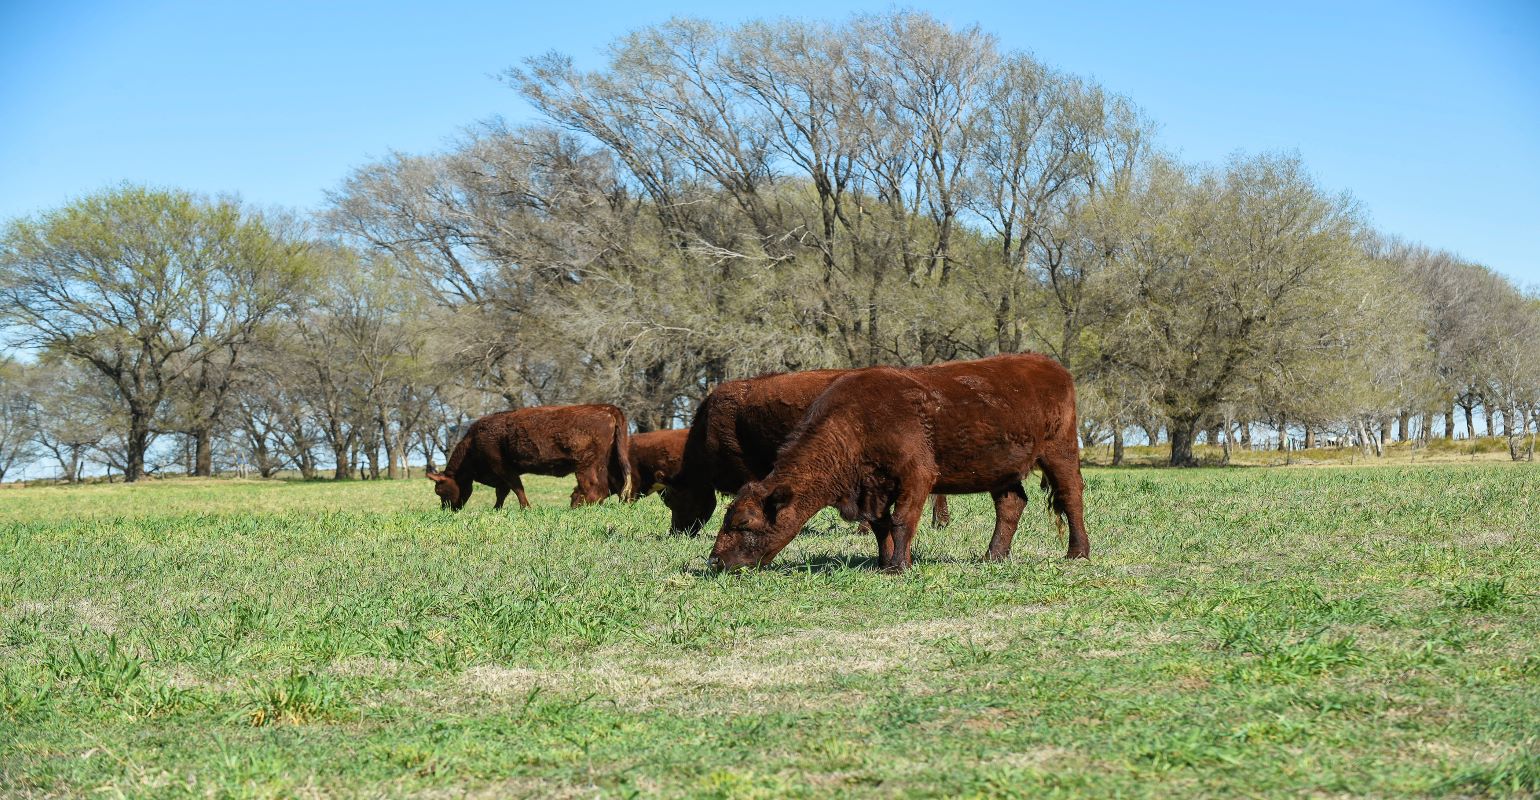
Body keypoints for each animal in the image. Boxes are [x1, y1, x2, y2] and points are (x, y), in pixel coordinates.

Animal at [428, 403, 631, 511]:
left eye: (440, 491)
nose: (447, 510)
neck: (473, 441)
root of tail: (605, 408)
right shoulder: (501, 474)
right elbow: (502, 492)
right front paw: (497, 509)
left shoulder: (502, 468)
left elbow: (517, 488)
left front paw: (525, 508)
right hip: (609, 462)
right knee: (609, 486)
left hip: (586, 466)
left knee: (593, 489)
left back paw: (577, 508)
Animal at [705, 354, 1084, 573]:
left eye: (743, 523)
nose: (714, 560)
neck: (857, 421)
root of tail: (1048, 365)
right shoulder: (872, 489)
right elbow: (880, 526)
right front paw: (883, 561)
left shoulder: (917, 476)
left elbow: (902, 521)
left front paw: (898, 567)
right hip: (1002, 470)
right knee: (1011, 505)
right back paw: (993, 556)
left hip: (1060, 451)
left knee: (1071, 498)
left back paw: (1078, 553)